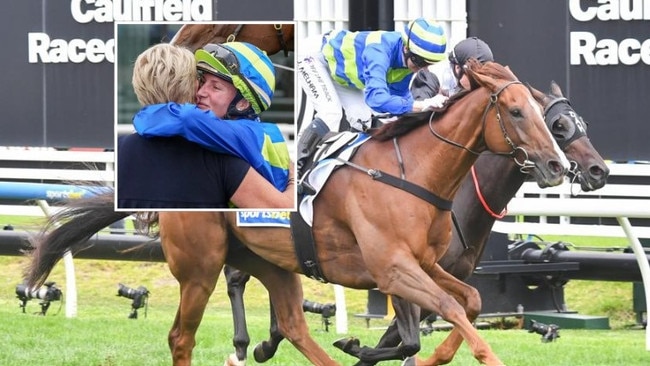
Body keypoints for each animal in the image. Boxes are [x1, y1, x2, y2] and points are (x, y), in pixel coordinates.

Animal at [223, 81, 608, 364]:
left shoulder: (430, 272)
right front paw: (357, 348)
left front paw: (359, 348)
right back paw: (243, 343)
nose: (598, 170)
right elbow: (410, 339)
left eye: (583, 124)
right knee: (236, 277)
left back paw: (264, 342)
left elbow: (449, 318)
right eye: (558, 126)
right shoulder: (398, 270)